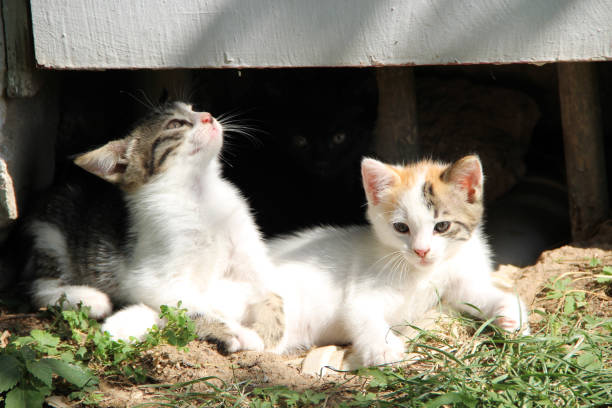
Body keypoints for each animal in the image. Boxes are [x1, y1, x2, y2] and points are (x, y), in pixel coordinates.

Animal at [23, 101, 282, 350]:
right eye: (175, 124)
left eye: (194, 108)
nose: (208, 116)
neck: (201, 196)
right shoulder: (153, 279)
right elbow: (192, 308)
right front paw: (233, 332)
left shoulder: (248, 252)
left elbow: (272, 292)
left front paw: (273, 332)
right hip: (50, 235)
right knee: (39, 288)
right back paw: (92, 299)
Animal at [268, 155, 532, 368]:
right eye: (401, 228)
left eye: (442, 226)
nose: (421, 251)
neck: (423, 273)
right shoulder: (361, 290)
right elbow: (362, 314)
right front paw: (383, 349)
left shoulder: (460, 282)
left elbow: (479, 294)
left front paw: (510, 314)